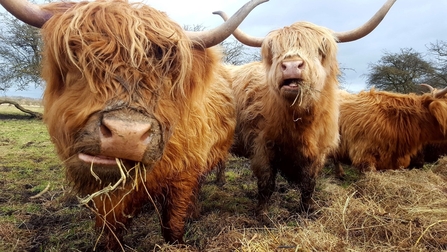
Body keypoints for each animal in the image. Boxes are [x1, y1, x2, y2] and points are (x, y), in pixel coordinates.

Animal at [0, 0, 270, 249]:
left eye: (167, 72)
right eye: (75, 57)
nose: (126, 134)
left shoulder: (185, 172)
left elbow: (173, 223)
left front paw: (177, 241)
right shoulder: (104, 195)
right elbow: (110, 231)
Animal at [215, 0, 398, 215]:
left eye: (319, 49)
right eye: (275, 52)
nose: (291, 65)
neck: (299, 120)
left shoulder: (318, 150)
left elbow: (309, 183)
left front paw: (307, 209)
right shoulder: (262, 146)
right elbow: (266, 183)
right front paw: (262, 214)